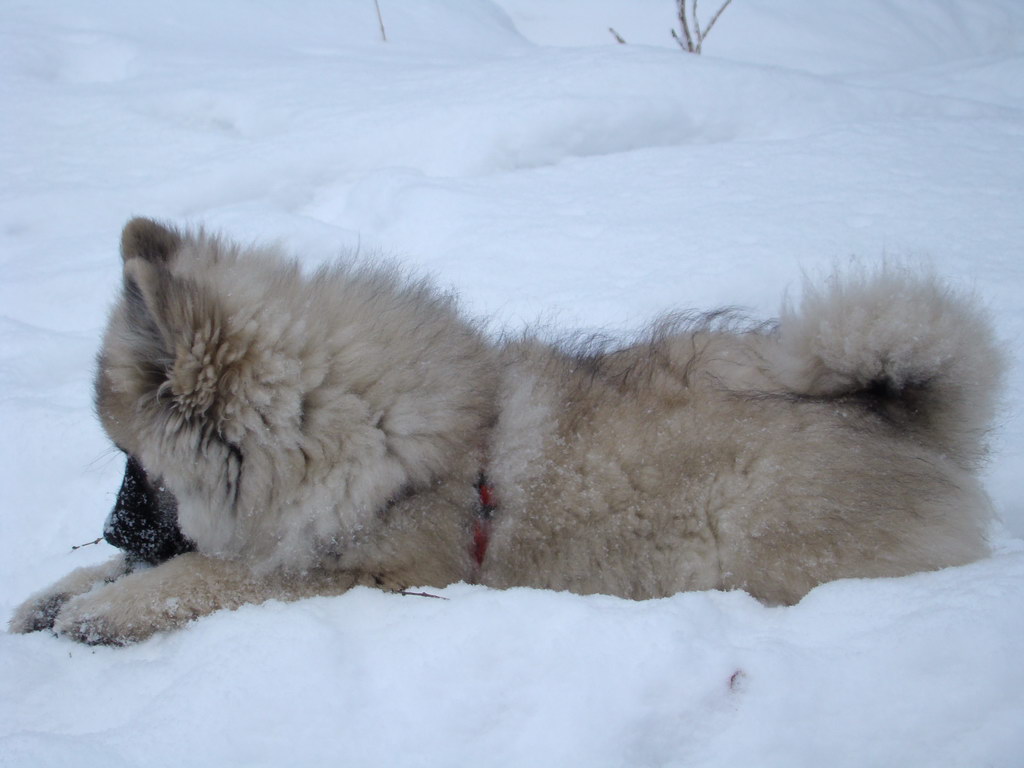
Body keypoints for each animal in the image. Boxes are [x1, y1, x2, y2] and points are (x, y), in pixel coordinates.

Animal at [6, 219, 999, 647]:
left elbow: (221, 574)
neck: (349, 429)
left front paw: (109, 607)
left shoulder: (375, 572)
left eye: (134, 465)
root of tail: (914, 428)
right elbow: (154, 567)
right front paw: (59, 591)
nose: (108, 526)